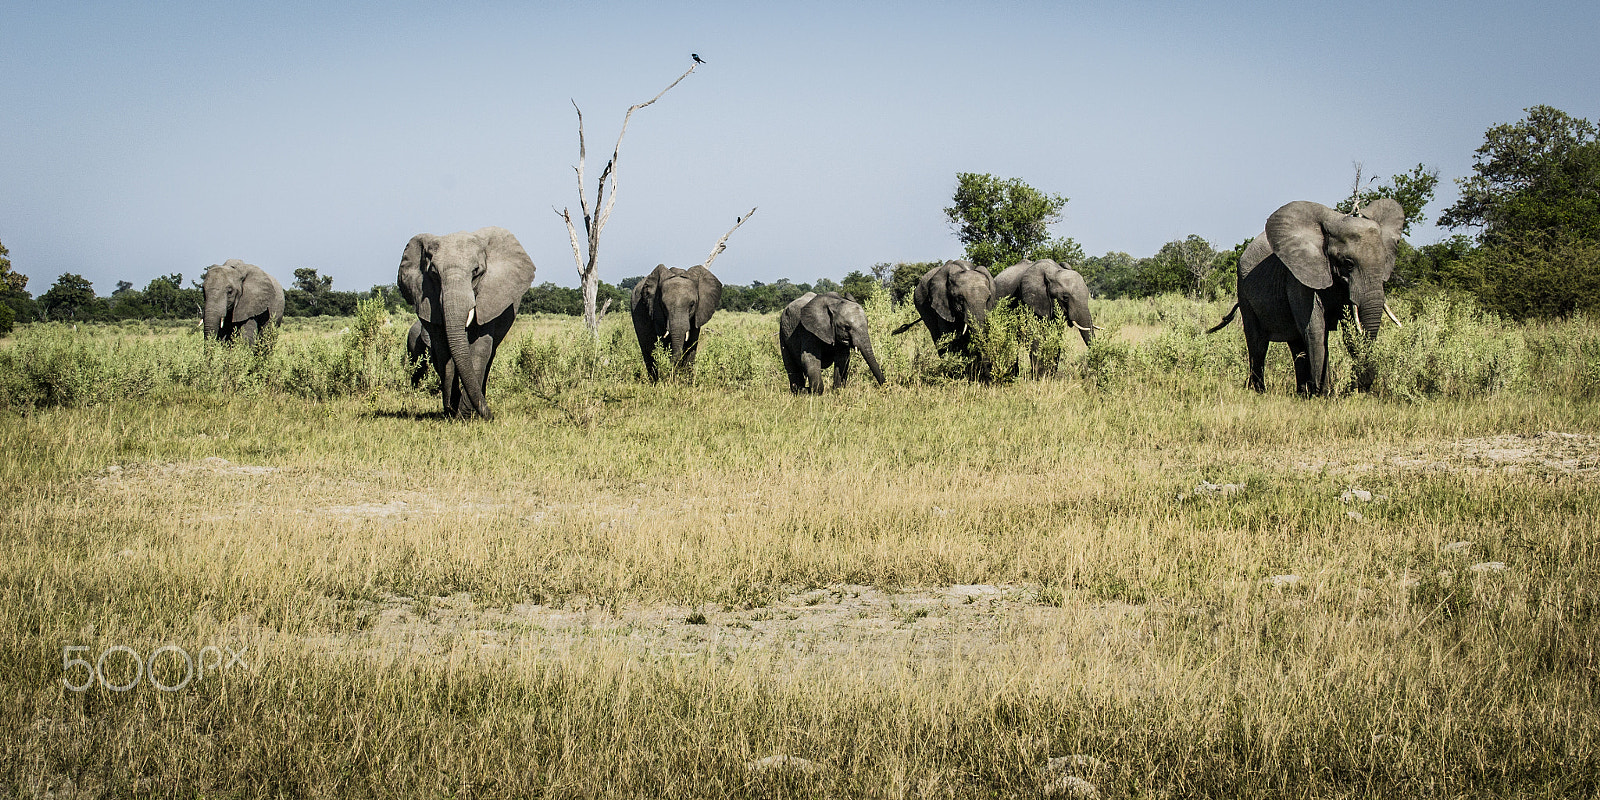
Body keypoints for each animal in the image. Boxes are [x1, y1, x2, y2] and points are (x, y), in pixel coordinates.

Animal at [397, 226, 537, 419]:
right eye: (434, 274)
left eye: (476, 271)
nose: (491, 416)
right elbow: (443, 351)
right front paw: (454, 410)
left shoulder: (489, 299)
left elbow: (479, 348)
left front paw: (466, 414)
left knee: (490, 354)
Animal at [1208, 199, 1406, 395]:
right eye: (1348, 263)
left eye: (1385, 261)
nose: (1354, 388)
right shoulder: (1298, 279)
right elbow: (1315, 329)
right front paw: (1323, 394)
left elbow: (1348, 331)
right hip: (1244, 292)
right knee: (1258, 343)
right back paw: (1260, 391)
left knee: (1295, 344)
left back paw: (1301, 393)